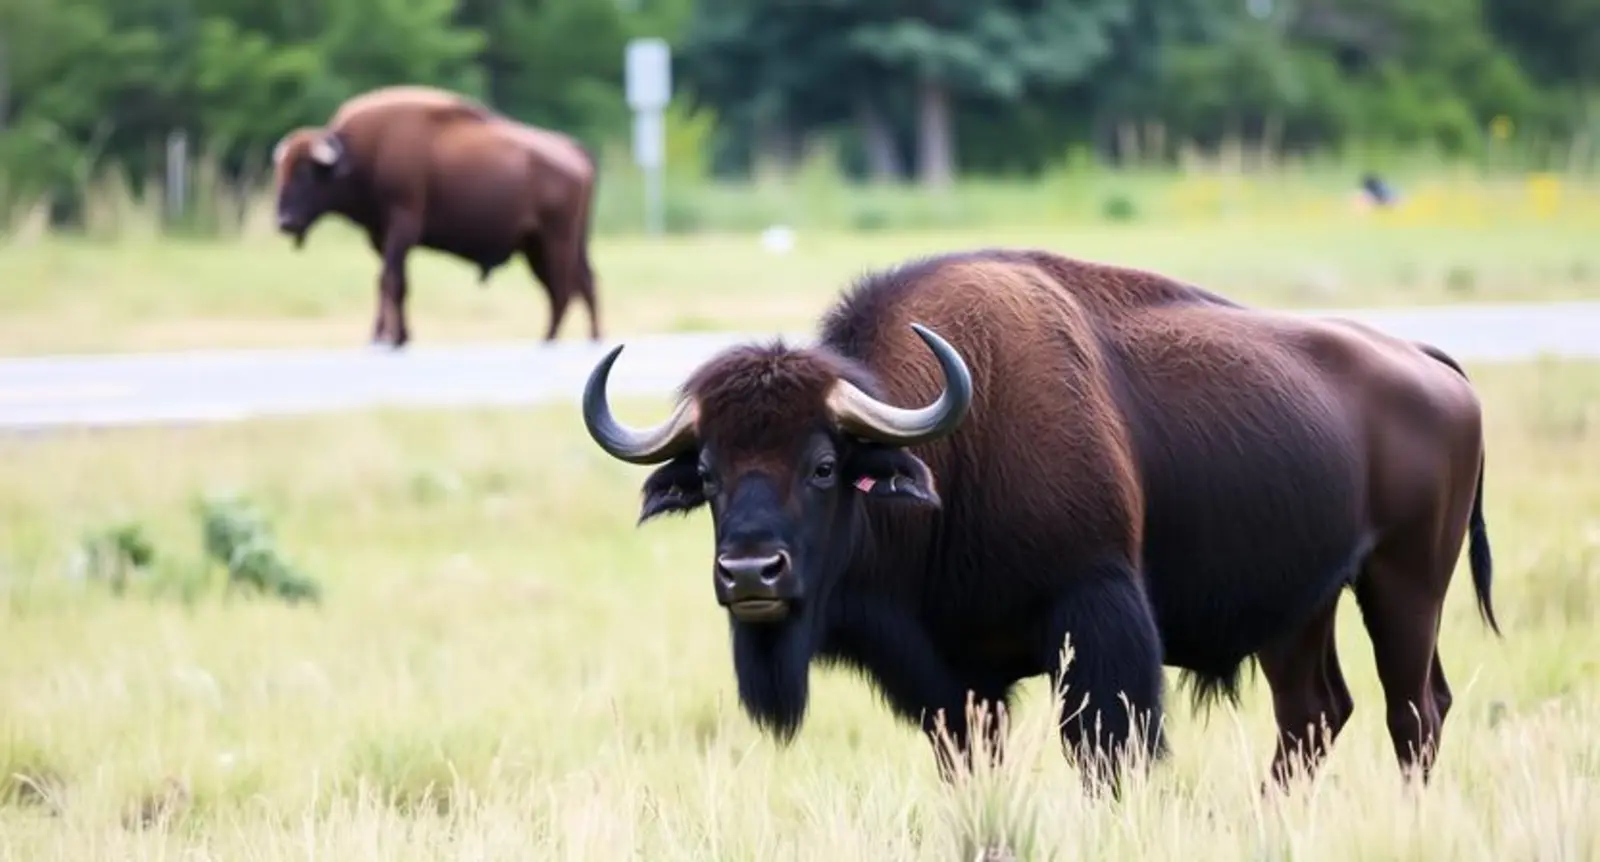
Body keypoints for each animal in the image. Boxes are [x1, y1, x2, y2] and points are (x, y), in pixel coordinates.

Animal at [272, 85, 601, 348]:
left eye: (305, 173)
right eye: (281, 171)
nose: (284, 222)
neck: (365, 152)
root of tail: (573, 150)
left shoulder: (402, 226)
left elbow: (388, 280)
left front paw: (385, 339)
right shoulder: (383, 238)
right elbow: (397, 283)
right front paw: (396, 337)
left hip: (554, 242)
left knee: (562, 291)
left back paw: (547, 341)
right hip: (548, 246)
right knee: (583, 284)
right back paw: (591, 338)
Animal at [581, 248, 1498, 793]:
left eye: (824, 464)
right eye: (708, 472)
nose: (750, 575)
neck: (949, 451)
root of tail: (1433, 365)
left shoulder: (1096, 627)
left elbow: (1108, 749)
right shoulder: (952, 679)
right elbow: (971, 759)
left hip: (1405, 583)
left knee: (1415, 711)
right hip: (1301, 610)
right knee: (1315, 714)